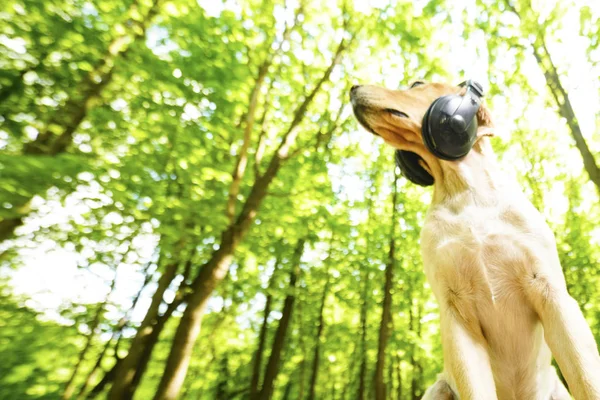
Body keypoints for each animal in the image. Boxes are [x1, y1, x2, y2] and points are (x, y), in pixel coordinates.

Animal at [350, 81, 600, 400]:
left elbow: (586, 378)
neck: (466, 192)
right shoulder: (456, 312)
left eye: (416, 84)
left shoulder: (551, 293)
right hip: (438, 388)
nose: (353, 87)